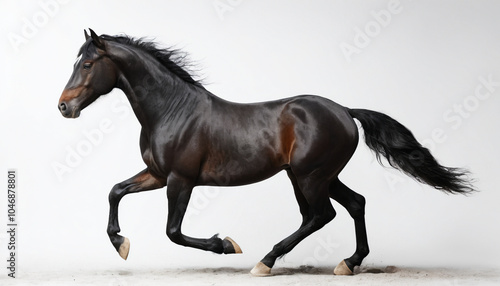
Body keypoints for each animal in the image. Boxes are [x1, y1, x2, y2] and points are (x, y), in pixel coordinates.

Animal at [58, 29, 472, 278]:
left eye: (88, 64)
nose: (64, 107)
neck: (172, 110)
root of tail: (344, 110)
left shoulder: (180, 180)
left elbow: (173, 231)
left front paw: (226, 245)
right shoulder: (157, 174)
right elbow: (115, 191)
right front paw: (121, 244)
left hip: (310, 175)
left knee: (321, 214)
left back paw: (265, 261)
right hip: (313, 175)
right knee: (352, 204)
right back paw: (348, 263)